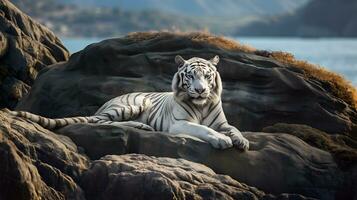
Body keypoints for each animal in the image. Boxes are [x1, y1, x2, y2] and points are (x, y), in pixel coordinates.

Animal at [10, 55, 248, 149]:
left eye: (207, 76)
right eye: (190, 76)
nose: (200, 90)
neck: (202, 104)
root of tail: (106, 102)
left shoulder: (222, 123)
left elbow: (234, 128)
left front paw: (242, 141)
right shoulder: (179, 123)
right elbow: (203, 129)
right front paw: (222, 140)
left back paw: (142, 126)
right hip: (134, 103)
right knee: (101, 121)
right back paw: (139, 125)